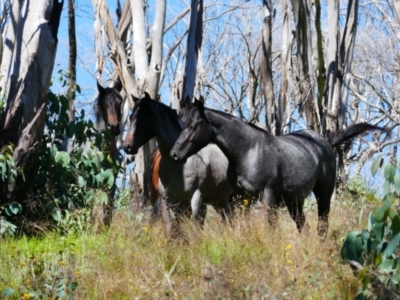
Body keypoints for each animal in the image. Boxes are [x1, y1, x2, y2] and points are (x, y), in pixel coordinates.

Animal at [122, 92, 234, 236]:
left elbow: (195, 226)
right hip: (220, 200)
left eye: (143, 116)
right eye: (130, 117)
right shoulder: (171, 200)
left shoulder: (196, 199)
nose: (127, 146)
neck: (180, 165)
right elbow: (174, 227)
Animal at [170, 99, 386, 236]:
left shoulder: (267, 197)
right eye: (183, 123)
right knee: (304, 227)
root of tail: (326, 142)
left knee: (322, 224)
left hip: (323, 194)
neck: (247, 150)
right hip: (295, 202)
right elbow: (241, 225)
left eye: (194, 125)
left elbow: (270, 227)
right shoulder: (241, 198)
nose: (174, 154)